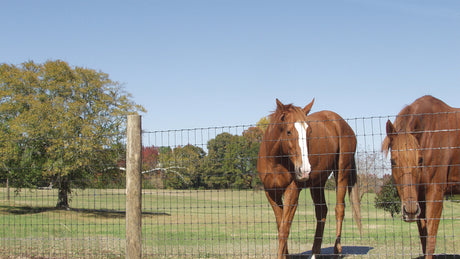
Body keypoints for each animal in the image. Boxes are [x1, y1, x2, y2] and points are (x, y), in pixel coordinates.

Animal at [256, 98, 362, 258]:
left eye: (309, 131)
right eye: (288, 131)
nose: (304, 170)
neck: (275, 161)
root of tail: (343, 124)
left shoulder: (292, 192)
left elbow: (284, 230)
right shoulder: (271, 193)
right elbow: (280, 225)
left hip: (342, 172)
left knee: (339, 209)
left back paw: (337, 250)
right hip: (318, 183)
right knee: (322, 211)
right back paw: (314, 253)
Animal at [382, 96, 460, 259]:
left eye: (420, 160)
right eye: (393, 161)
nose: (410, 210)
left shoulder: (436, 194)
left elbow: (430, 241)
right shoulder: (421, 198)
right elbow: (424, 239)